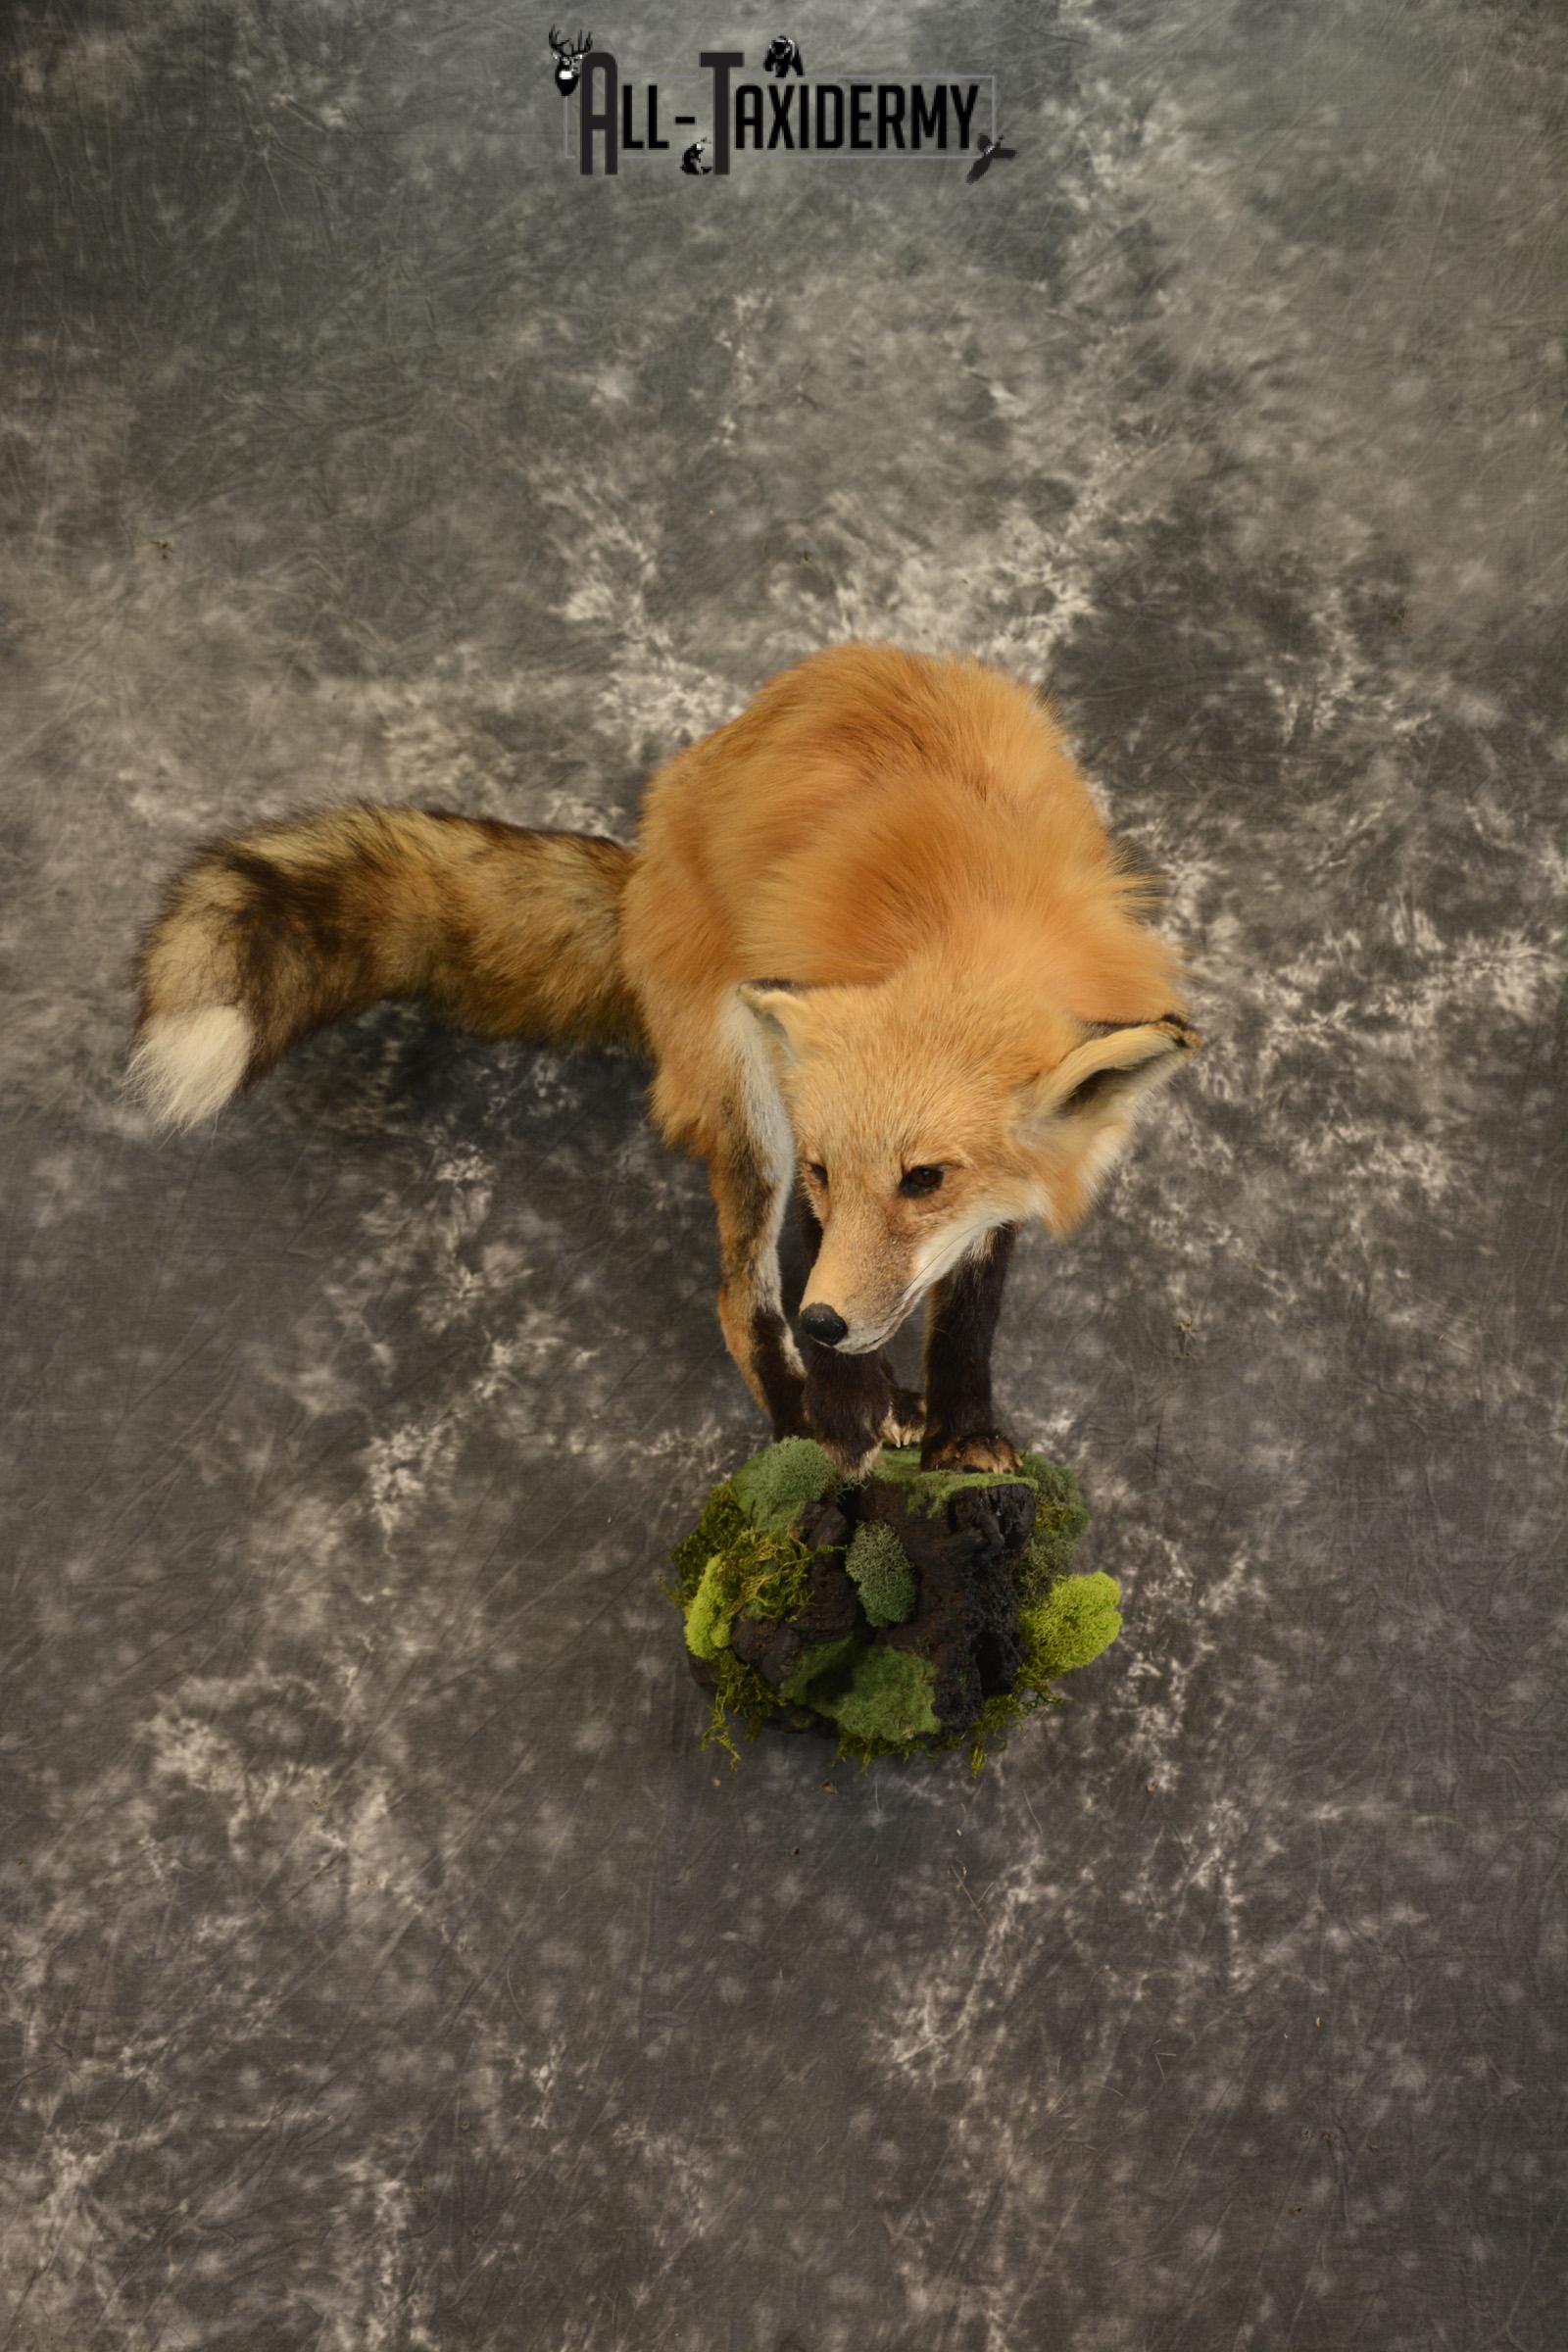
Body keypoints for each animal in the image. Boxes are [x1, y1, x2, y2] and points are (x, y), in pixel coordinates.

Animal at [130, 643, 1200, 1478]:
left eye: (925, 1179)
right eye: (829, 1171)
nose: (826, 1327)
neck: (968, 911)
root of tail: (643, 870)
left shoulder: (1012, 1186)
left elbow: (969, 1313)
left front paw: (960, 1433)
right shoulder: (802, 1138)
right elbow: (805, 1273)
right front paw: (848, 1413)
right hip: (747, 1099)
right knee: (740, 1296)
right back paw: (808, 1418)